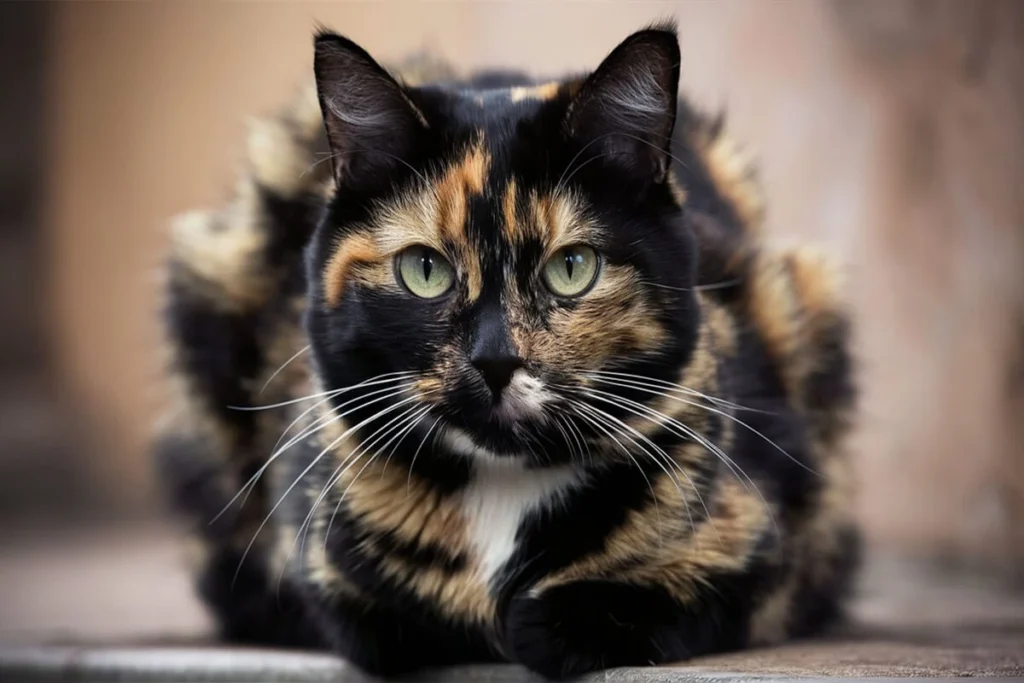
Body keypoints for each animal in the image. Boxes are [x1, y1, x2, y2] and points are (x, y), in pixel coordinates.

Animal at [155, 20, 860, 679]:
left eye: (572, 267)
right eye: (424, 270)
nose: (495, 360)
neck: (502, 486)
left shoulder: (773, 539)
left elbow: (672, 593)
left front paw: (541, 620)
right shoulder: (327, 561)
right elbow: (380, 616)